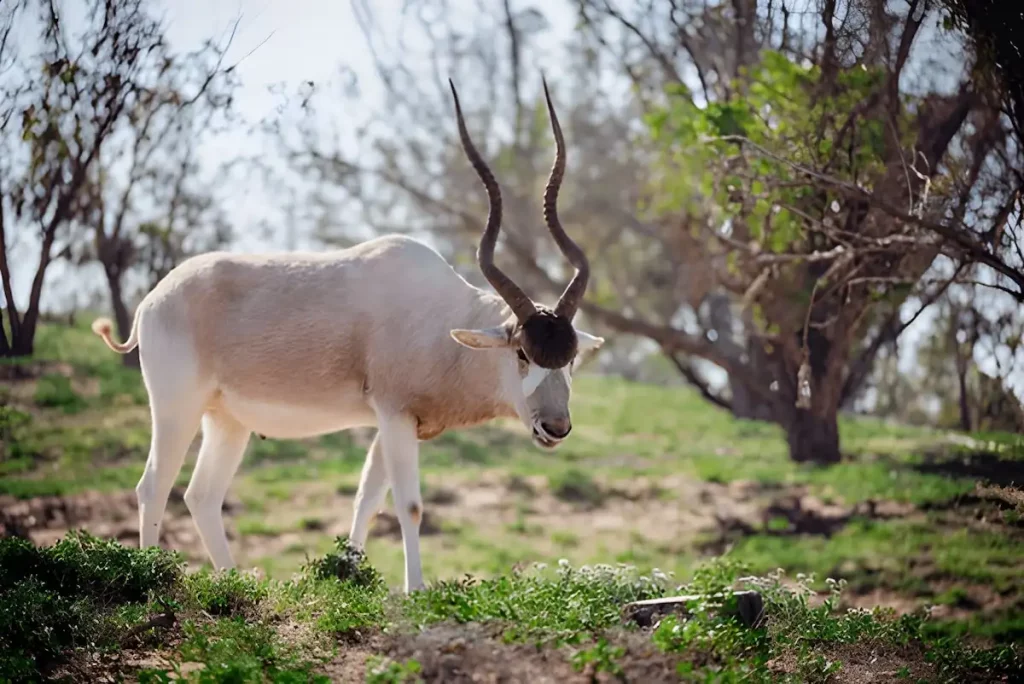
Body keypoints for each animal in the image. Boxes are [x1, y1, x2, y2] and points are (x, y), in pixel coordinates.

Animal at [90, 78, 603, 592]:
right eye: (522, 353)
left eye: (570, 357)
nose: (556, 427)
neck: (440, 318)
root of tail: (153, 299)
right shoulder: (395, 416)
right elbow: (409, 505)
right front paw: (414, 590)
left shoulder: (396, 422)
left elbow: (368, 501)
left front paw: (350, 577)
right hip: (177, 407)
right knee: (154, 486)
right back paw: (149, 575)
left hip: (227, 420)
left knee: (202, 495)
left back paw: (235, 580)